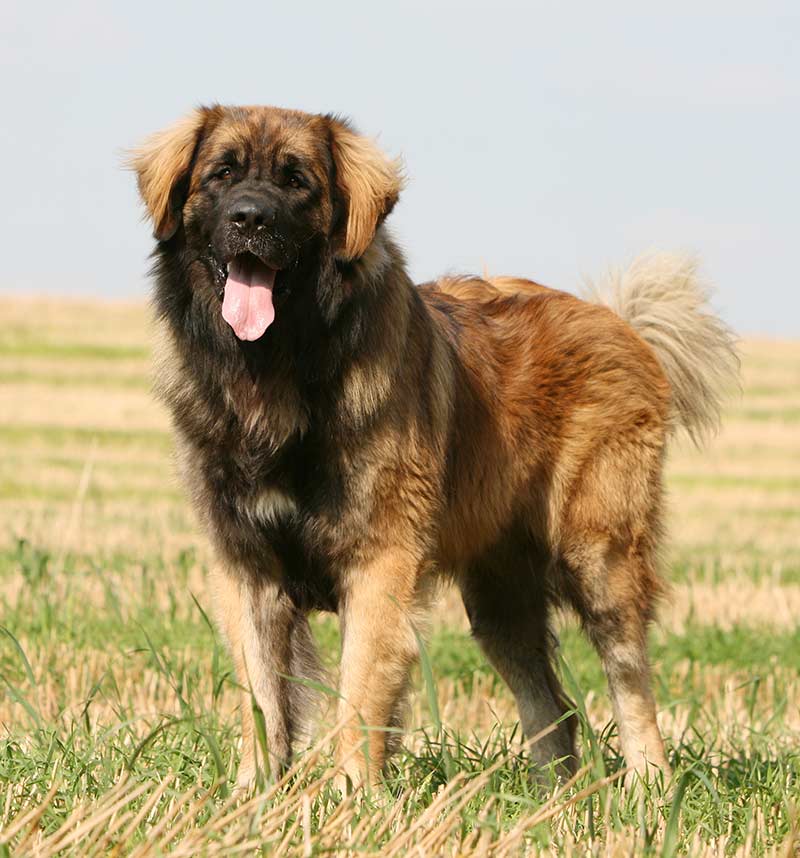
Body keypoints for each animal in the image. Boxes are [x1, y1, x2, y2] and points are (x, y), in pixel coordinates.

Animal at [130, 107, 736, 788]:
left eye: (296, 182)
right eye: (223, 174)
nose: (251, 218)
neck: (278, 374)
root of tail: (621, 323)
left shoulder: (381, 561)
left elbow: (359, 693)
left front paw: (350, 794)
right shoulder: (248, 567)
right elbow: (261, 700)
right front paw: (253, 793)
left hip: (600, 557)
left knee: (629, 679)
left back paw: (649, 786)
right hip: (500, 595)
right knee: (552, 705)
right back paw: (547, 796)